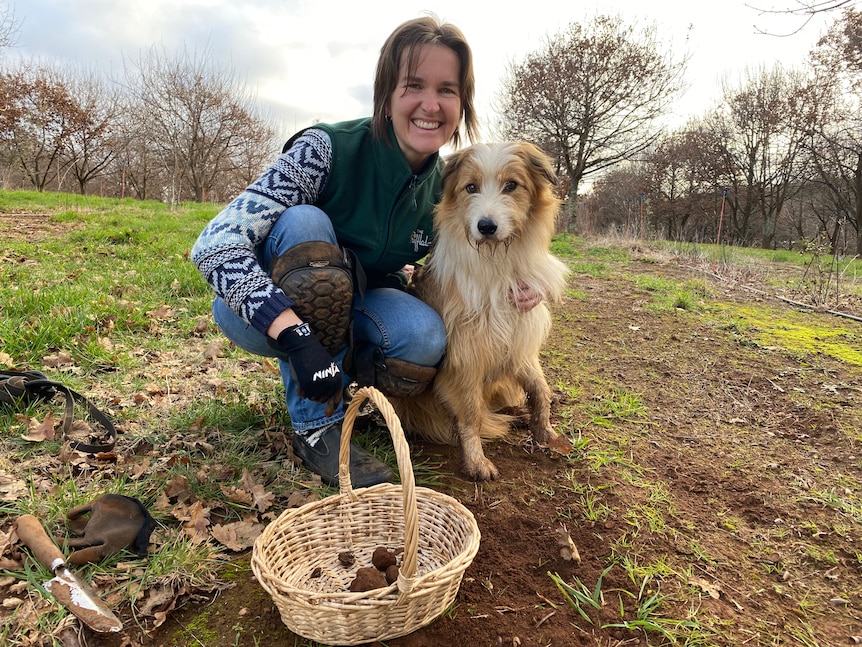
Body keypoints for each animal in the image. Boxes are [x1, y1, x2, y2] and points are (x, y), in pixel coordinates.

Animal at [396, 142, 572, 480]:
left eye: (512, 185)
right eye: (471, 188)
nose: (486, 226)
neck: (498, 261)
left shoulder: (518, 341)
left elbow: (539, 388)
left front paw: (546, 432)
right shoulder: (466, 355)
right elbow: (470, 414)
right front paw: (476, 461)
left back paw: (518, 416)